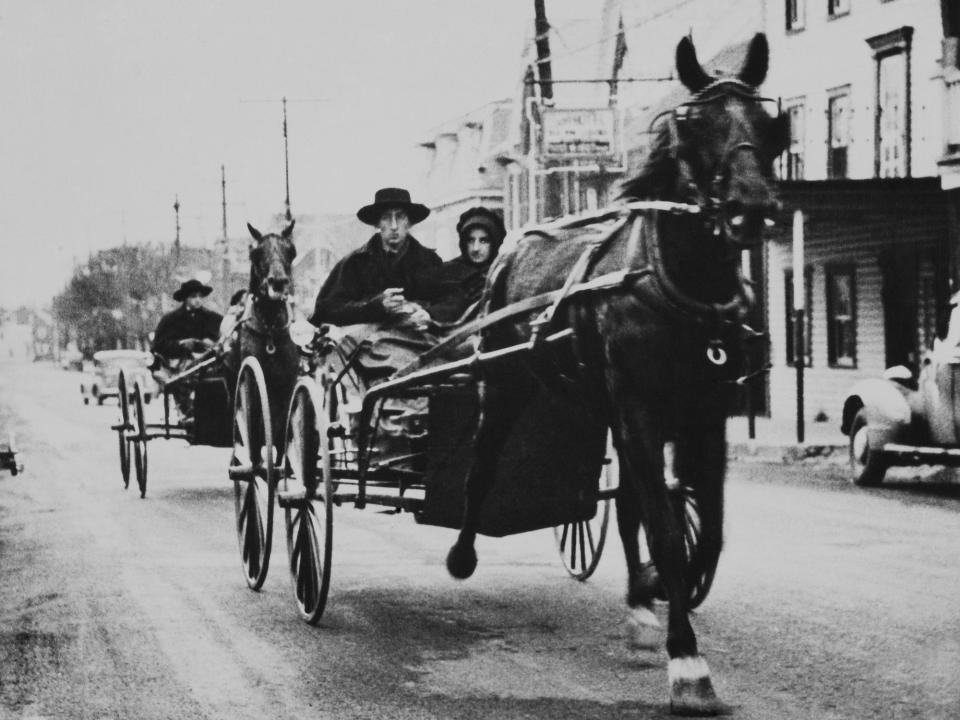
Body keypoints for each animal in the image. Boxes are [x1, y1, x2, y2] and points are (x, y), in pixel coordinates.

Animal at [446, 33, 792, 716]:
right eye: (693, 125)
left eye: (769, 123)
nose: (752, 206)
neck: (680, 283)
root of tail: (511, 251)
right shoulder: (639, 411)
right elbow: (666, 529)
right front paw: (687, 663)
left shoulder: (704, 416)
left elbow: (703, 531)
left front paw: (658, 591)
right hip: (507, 385)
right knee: (483, 467)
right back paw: (463, 551)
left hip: (603, 406)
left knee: (630, 502)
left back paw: (639, 603)